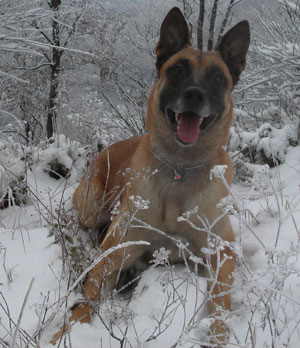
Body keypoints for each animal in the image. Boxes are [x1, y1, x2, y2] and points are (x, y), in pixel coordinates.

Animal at [52, 7, 251, 346]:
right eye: (178, 70)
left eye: (217, 77)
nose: (195, 95)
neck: (179, 168)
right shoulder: (118, 250)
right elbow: (89, 294)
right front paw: (64, 333)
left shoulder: (221, 251)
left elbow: (221, 303)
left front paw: (218, 335)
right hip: (93, 205)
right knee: (87, 226)